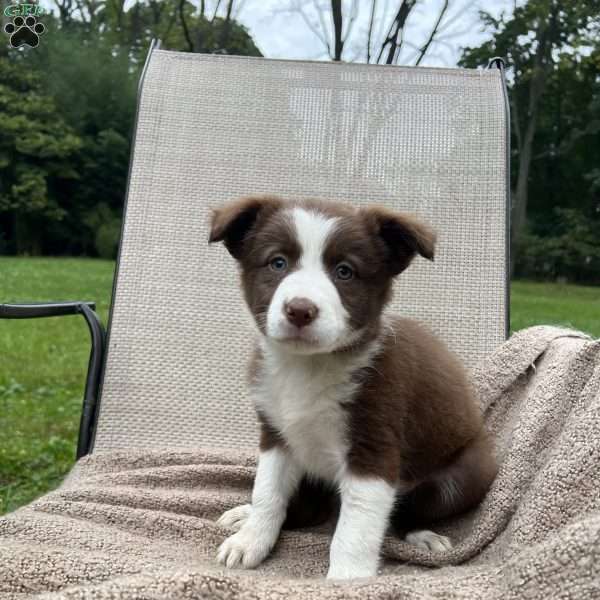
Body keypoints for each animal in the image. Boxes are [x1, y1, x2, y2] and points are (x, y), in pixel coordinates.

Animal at [211, 195, 496, 580]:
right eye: (277, 262)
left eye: (344, 271)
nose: (299, 310)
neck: (308, 367)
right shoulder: (276, 435)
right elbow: (267, 492)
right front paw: (250, 539)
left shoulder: (373, 447)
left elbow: (356, 524)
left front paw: (348, 579)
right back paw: (245, 515)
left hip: (467, 473)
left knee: (409, 509)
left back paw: (423, 536)